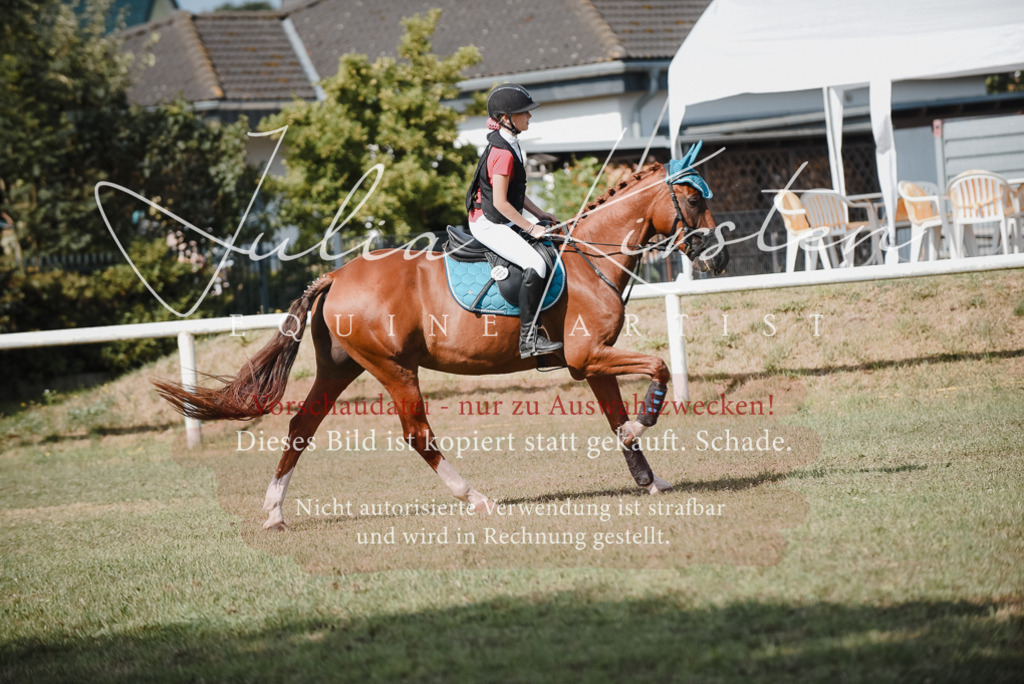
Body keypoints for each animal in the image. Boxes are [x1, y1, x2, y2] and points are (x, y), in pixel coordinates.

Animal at [154, 159, 729, 530]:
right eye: (692, 199)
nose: (718, 258)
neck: (593, 259)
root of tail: (336, 276)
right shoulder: (588, 358)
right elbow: (658, 369)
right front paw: (643, 427)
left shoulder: (589, 364)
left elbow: (616, 419)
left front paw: (649, 480)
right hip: (393, 368)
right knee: (418, 435)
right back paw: (475, 498)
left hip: (340, 367)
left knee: (301, 427)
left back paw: (274, 513)